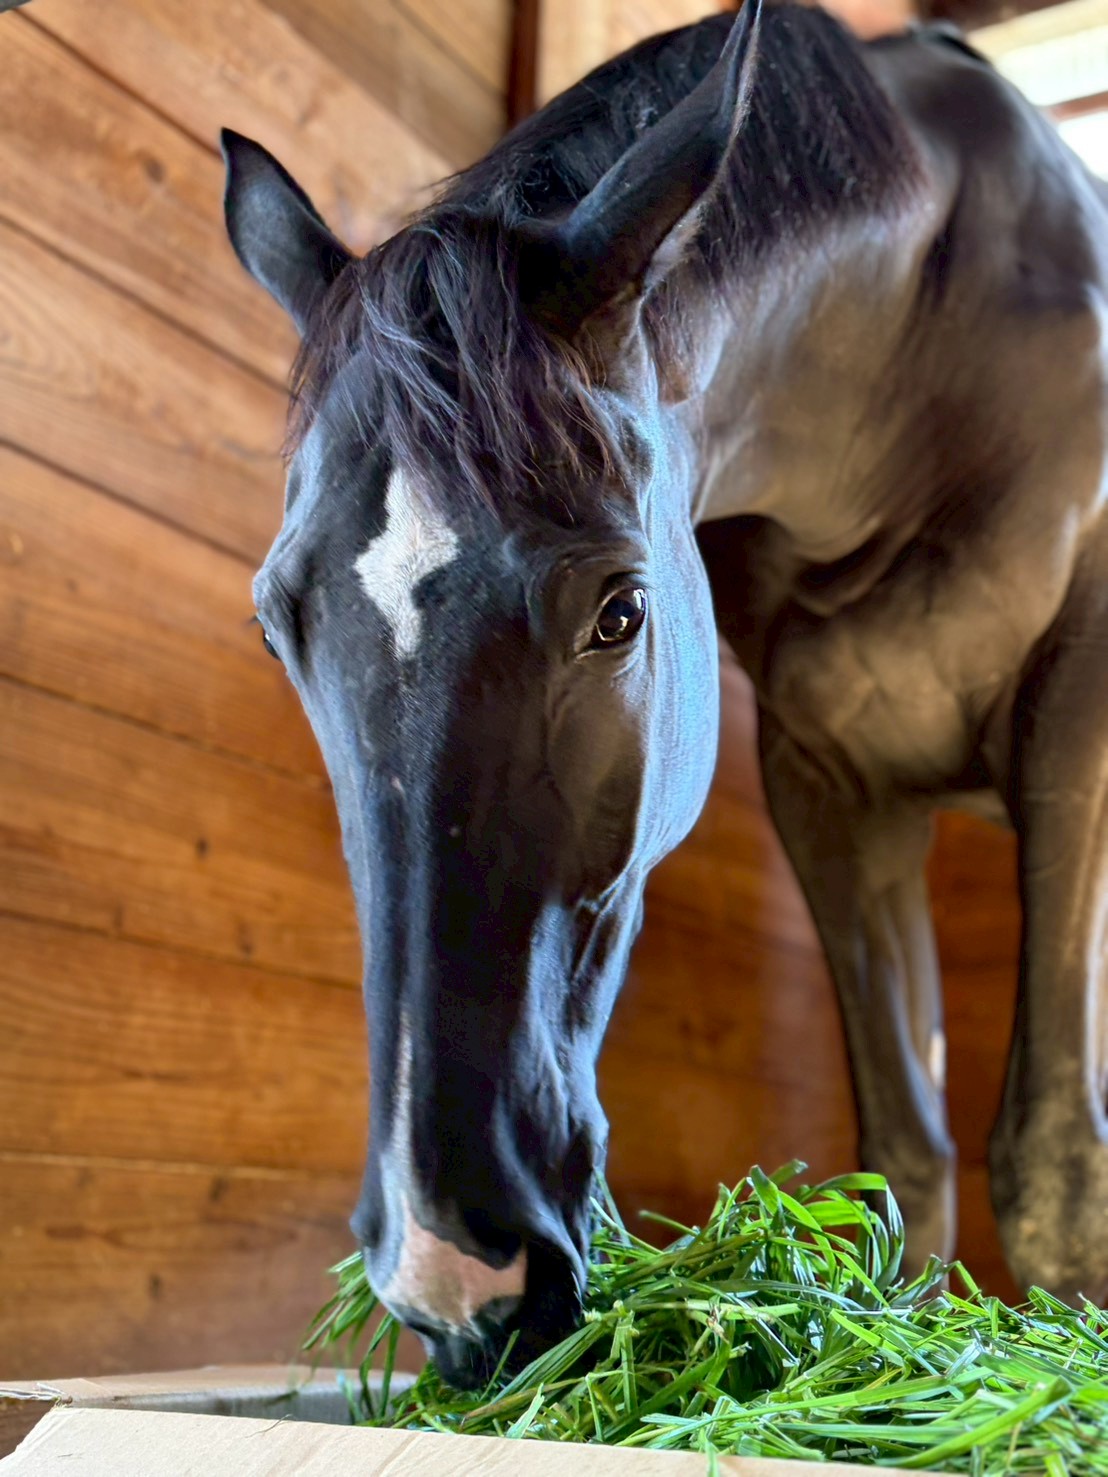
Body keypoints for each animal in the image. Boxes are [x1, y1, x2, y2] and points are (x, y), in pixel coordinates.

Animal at [222, 0, 1108, 1385]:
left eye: (621, 611)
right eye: (277, 629)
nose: (452, 1277)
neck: (925, 359)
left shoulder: (1073, 716)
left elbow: (1052, 1164)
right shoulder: (832, 791)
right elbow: (907, 1160)